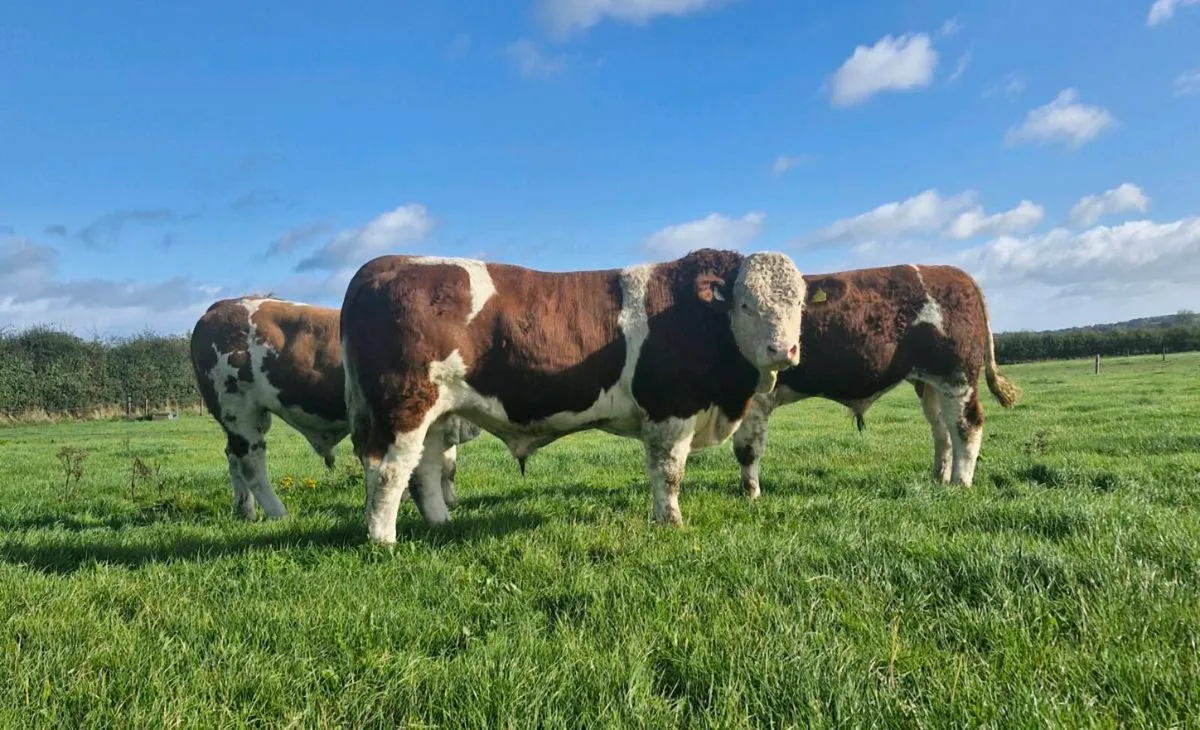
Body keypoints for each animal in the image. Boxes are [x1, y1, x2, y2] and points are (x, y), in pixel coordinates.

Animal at [190, 296, 479, 520]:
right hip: (242, 413)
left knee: (234, 459)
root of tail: (222, 306)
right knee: (252, 464)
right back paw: (278, 512)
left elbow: (447, 466)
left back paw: (245, 510)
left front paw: (448, 499)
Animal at [339, 249, 808, 543]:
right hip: (404, 407)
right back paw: (383, 540)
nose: (783, 350)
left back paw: (441, 524)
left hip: (436, 412)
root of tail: (389, 263)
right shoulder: (669, 411)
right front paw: (670, 523)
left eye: (800, 304)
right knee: (387, 471)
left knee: (425, 469)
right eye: (746, 304)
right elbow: (668, 473)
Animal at [730, 264, 1022, 498]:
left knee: (966, 425)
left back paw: (960, 484)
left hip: (957, 377)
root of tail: (957, 273)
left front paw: (751, 494)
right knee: (942, 430)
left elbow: (747, 449)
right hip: (931, 384)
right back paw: (938, 479)